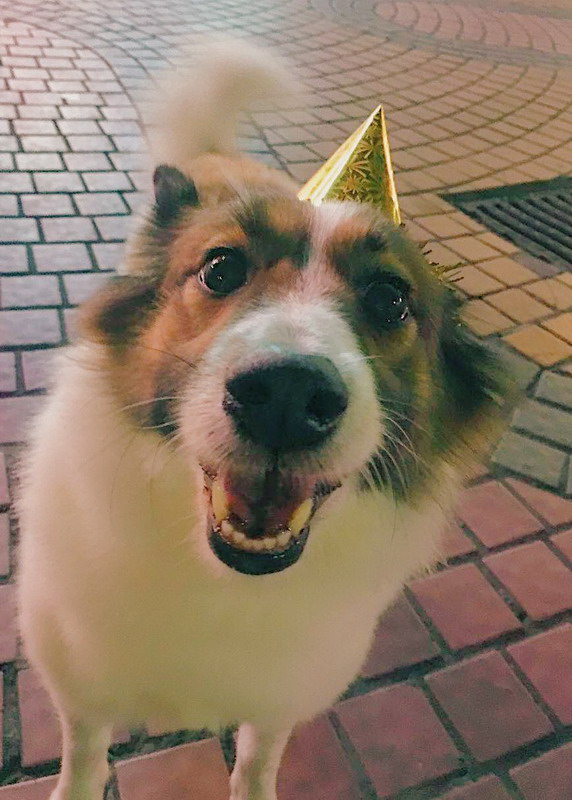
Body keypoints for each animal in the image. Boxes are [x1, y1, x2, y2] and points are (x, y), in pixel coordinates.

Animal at [17, 39, 508, 800]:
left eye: (390, 298)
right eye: (220, 268)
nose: (285, 395)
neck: (220, 583)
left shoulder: (280, 694)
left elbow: (256, 761)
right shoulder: (82, 684)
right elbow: (84, 760)